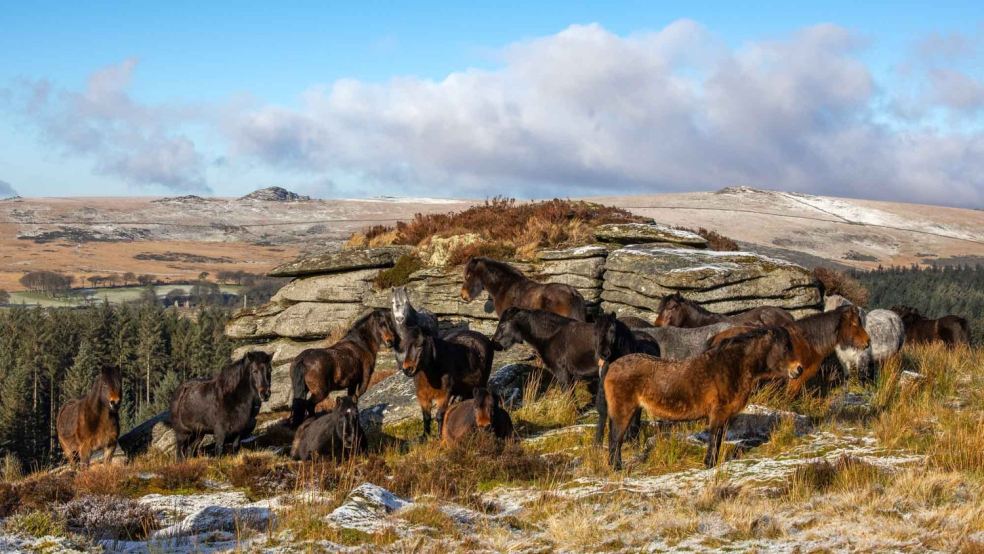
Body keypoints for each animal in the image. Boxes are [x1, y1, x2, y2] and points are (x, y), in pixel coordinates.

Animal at [600, 326, 808, 468]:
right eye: (785, 347)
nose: (798, 369)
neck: (731, 366)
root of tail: (612, 366)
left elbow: (718, 439)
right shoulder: (718, 412)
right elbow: (714, 438)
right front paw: (709, 463)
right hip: (623, 411)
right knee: (615, 440)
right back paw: (617, 467)